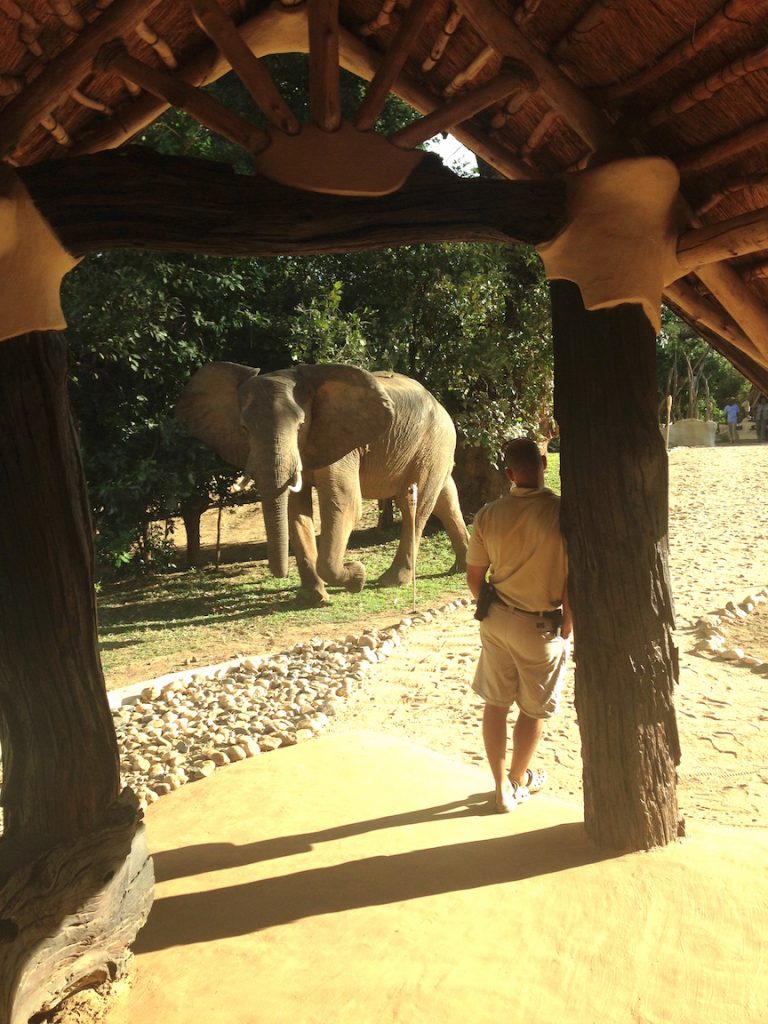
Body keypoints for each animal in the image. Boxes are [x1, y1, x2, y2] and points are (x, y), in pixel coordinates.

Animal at [177, 362, 473, 602]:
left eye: (300, 426)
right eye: (244, 429)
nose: (281, 574)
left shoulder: (340, 443)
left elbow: (344, 504)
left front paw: (357, 576)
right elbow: (295, 510)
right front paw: (315, 598)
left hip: (435, 438)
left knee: (413, 502)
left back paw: (391, 581)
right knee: (446, 498)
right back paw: (463, 567)